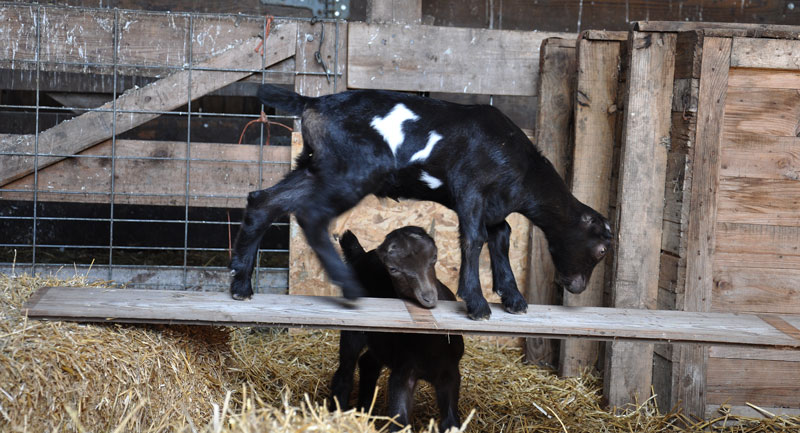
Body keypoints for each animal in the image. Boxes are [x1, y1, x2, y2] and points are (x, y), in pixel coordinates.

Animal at [230, 84, 613, 320]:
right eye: (601, 250)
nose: (577, 287)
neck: (523, 168)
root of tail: (312, 102)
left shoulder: (493, 206)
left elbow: (501, 238)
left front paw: (513, 298)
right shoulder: (470, 187)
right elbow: (474, 239)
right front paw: (477, 304)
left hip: (314, 167)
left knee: (264, 201)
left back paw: (240, 285)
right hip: (351, 170)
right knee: (312, 216)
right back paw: (349, 287)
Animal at [329, 227, 463, 432]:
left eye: (434, 257)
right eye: (393, 269)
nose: (428, 296)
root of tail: (360, 255)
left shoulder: (449, 371)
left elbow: (451, 421)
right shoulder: (403, 371)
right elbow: (399, 420)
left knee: (368, 362)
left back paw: (365, 412)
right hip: (354, 330)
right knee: (345, 371)